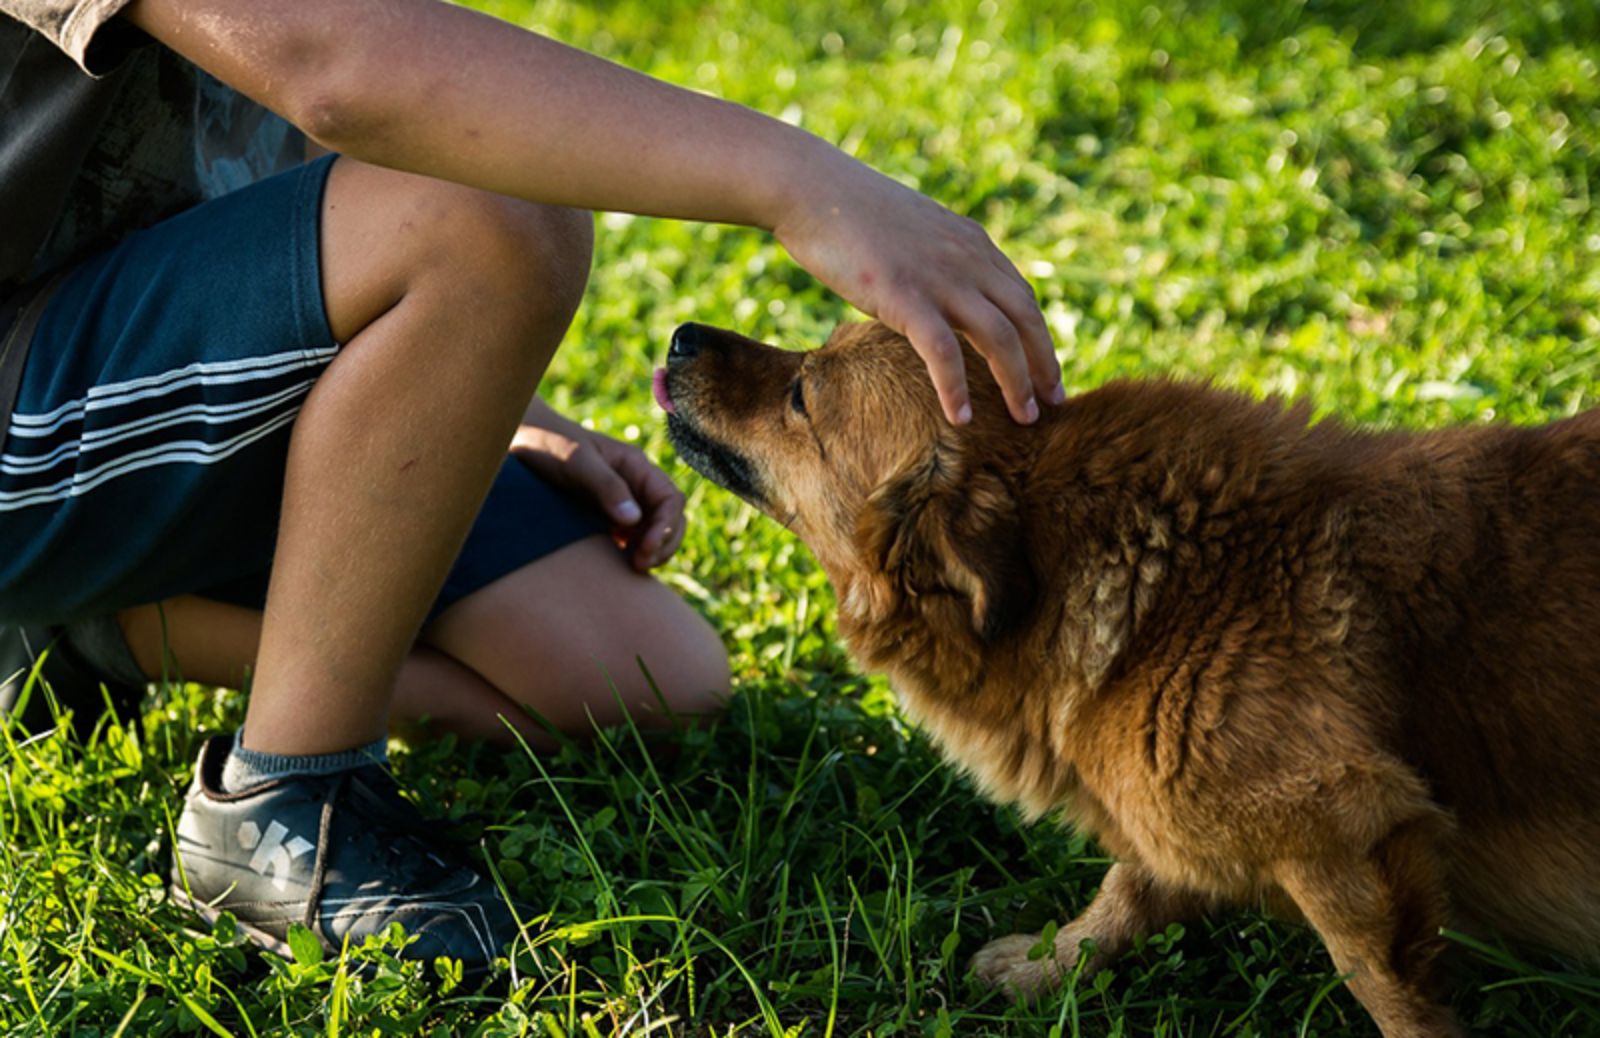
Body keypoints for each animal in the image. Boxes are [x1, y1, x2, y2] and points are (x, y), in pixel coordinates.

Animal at [656, 319, 1600, 1030]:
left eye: (802, 394)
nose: (681, 335)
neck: (1165, 583)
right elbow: (1129, 888)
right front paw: (1051, 967)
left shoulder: (1344, 826)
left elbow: (1384, 990)